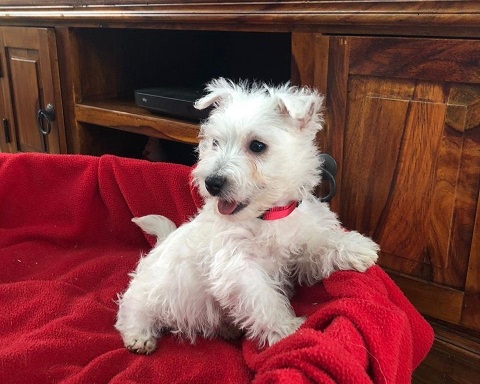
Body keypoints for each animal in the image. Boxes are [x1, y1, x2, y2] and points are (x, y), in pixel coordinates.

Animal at [113, 78, 378, 354]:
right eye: (215, 143)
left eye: (257, 146)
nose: (212, 182)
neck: (266, 215)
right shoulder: (237, 266)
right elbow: (263, 298)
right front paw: (287, 329)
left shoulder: (298, 242)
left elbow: (319, 243)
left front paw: (357, 248)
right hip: (148, 294)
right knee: (132, 310)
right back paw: (139, 337)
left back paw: (227, 328)